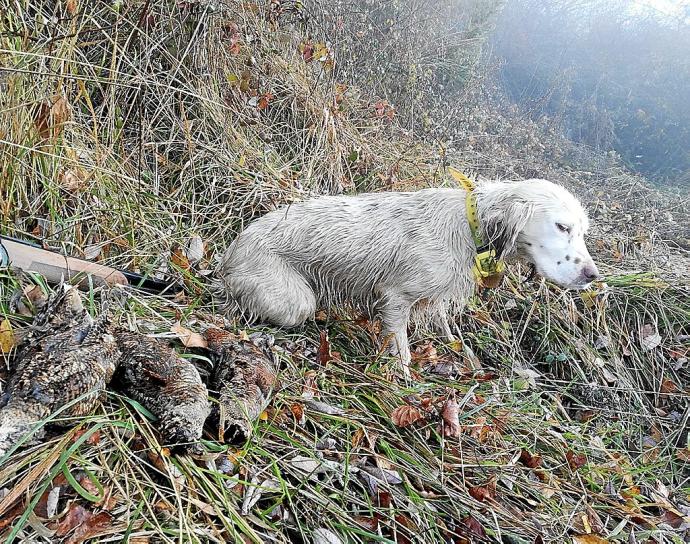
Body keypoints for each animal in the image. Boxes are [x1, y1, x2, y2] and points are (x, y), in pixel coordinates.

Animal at [216, 178, 596, 374]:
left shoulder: (434, 300)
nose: (592, 275)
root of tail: (231, 252)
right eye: (562, 227)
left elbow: (445, 326)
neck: (468, 225)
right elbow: (401, 348)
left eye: (582, 231)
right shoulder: (396, 297)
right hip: (295, 303)